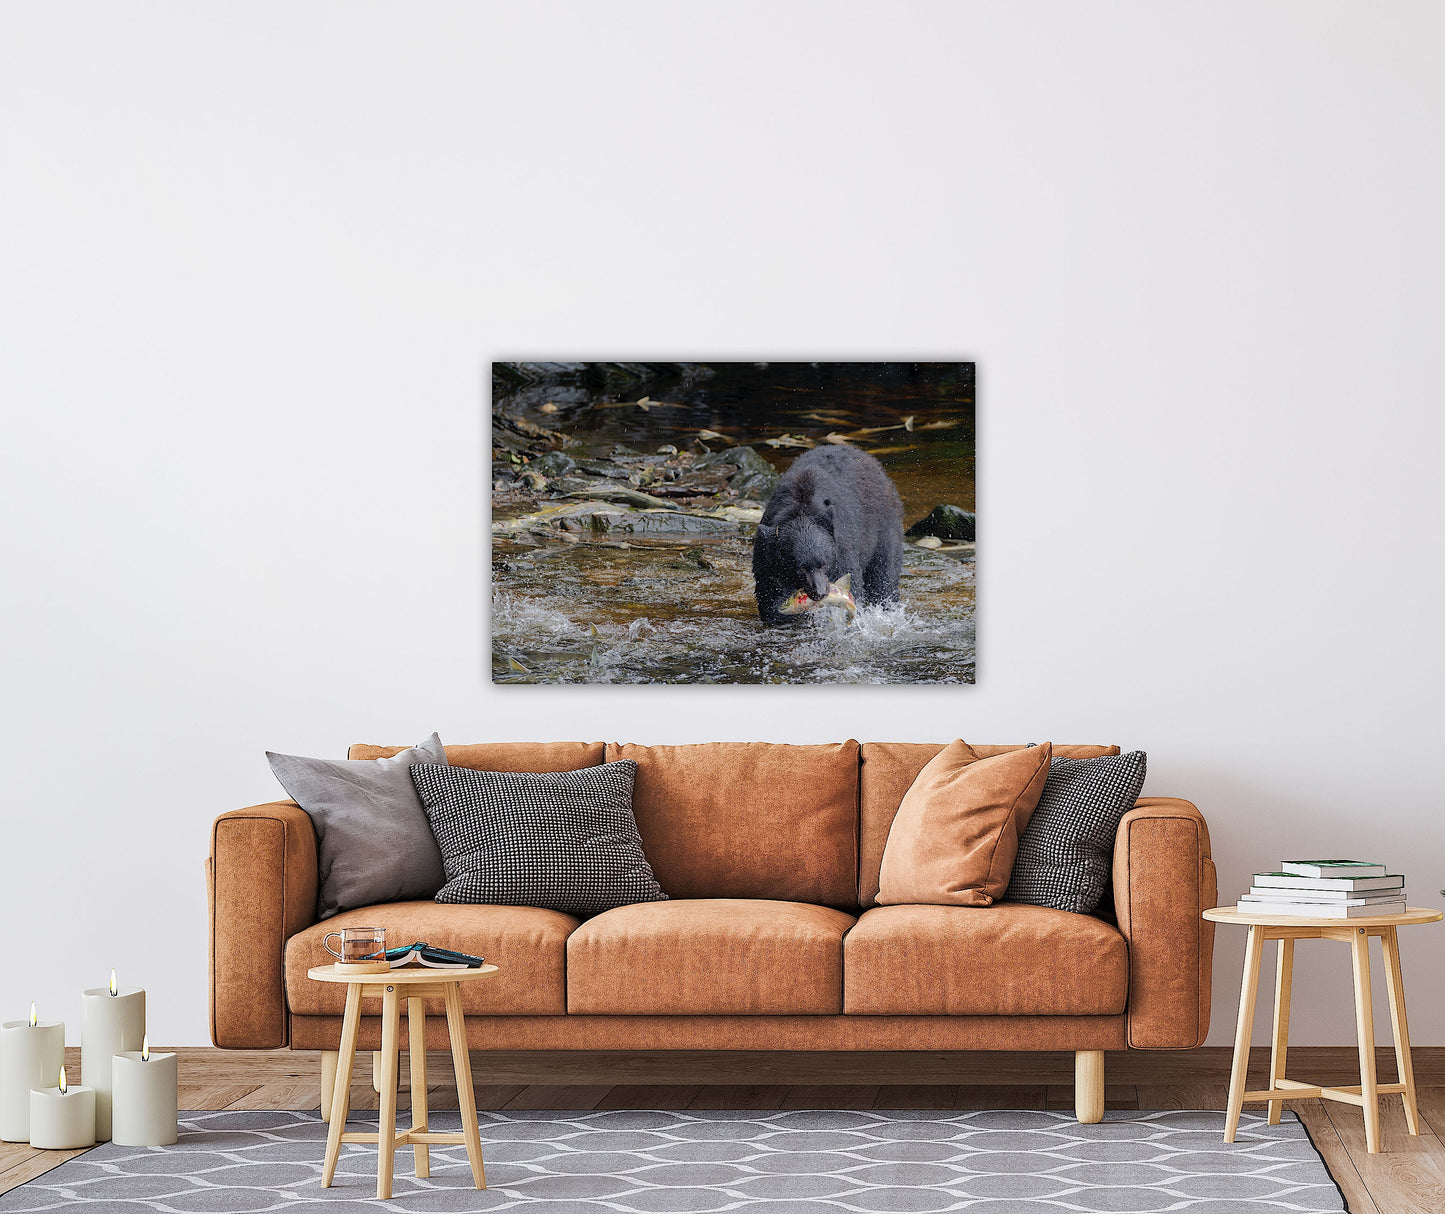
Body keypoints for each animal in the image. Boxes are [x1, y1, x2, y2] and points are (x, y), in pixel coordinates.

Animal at [752, 443, 905, 626]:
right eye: (800, 567)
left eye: (823, 564)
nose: (820, 592)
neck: (801, 507)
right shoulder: (767, 551)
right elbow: (768, 590)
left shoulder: (841, 544)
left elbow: (851, 579)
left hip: (884, 525)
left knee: (884, 574)